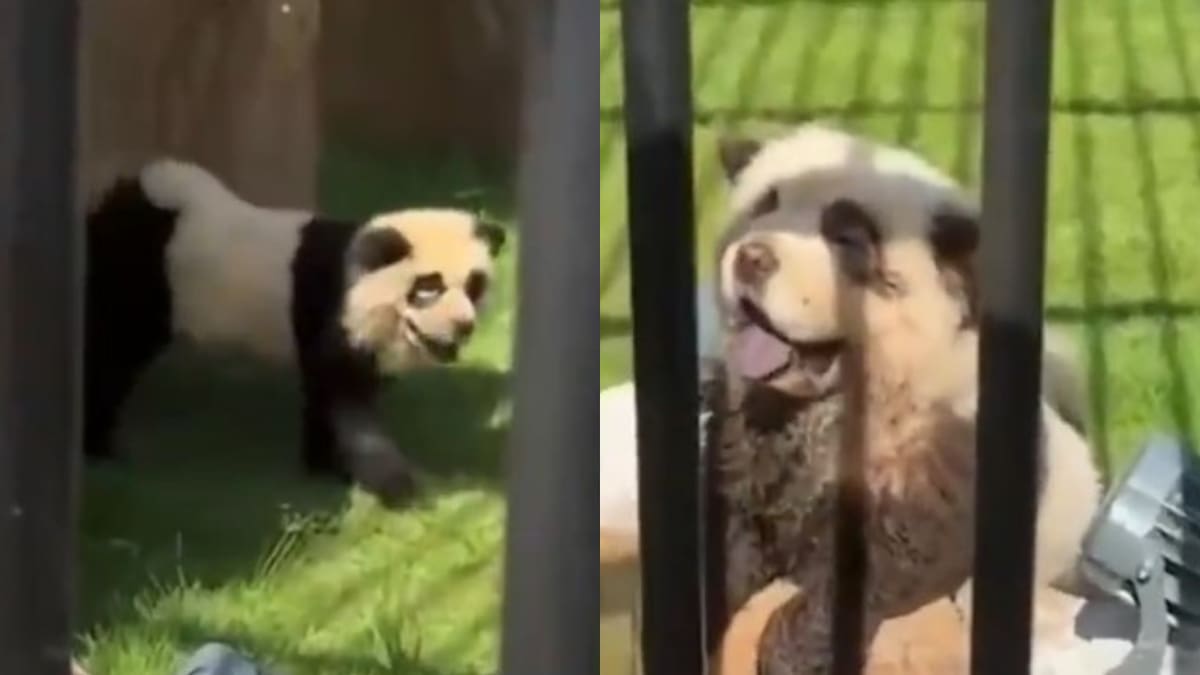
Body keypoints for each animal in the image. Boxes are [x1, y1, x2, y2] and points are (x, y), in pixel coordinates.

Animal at [84, 158, 506, 503]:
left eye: (474, 286)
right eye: (429, 288)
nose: (463, 326)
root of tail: (129, 195)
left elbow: (334, 393)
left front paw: (326, 468)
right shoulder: (335, 311)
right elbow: (344, 396)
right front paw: (382, 481)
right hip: (142, 277)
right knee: (112, 352)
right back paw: (100, 446)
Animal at [702, 123, 1103, 672]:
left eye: (847, 238)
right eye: (764, 206)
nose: (751, 258)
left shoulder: (936, 474)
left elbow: (860, 579)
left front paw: (790, 653)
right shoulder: (746, 456)